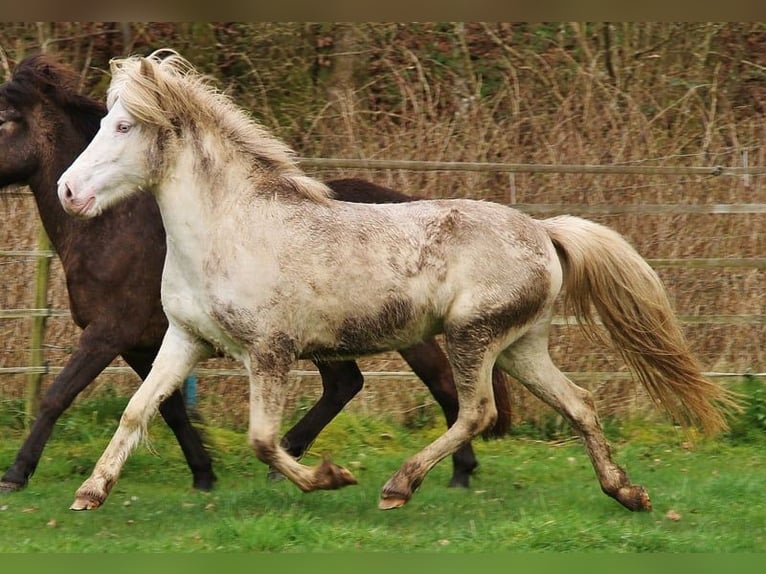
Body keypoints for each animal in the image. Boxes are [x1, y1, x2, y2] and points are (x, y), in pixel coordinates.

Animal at [1, 56, 516, 492]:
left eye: (5, 120)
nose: (70, 191)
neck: (115, 230)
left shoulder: (110, 332)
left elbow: (57, 396)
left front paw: (16, 474)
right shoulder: (151, 341)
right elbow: (163, 409)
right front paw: (203, 473)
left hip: (410, 335)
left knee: (443, 387)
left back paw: (455, 473)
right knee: (346, 386)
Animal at [55, 51, 736, 516]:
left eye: (123, 127)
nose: (66, 191)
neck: (231, 227)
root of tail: (544, 232)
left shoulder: (270, 352)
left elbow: (263, 439)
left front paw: (330, 477)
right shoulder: (186, 339)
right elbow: (137, 409)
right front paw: (90, 493)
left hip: (471, 337)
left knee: (478, 411)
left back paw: (398, 485)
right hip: (521, 346)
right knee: (579, 404)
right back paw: (627, 492)